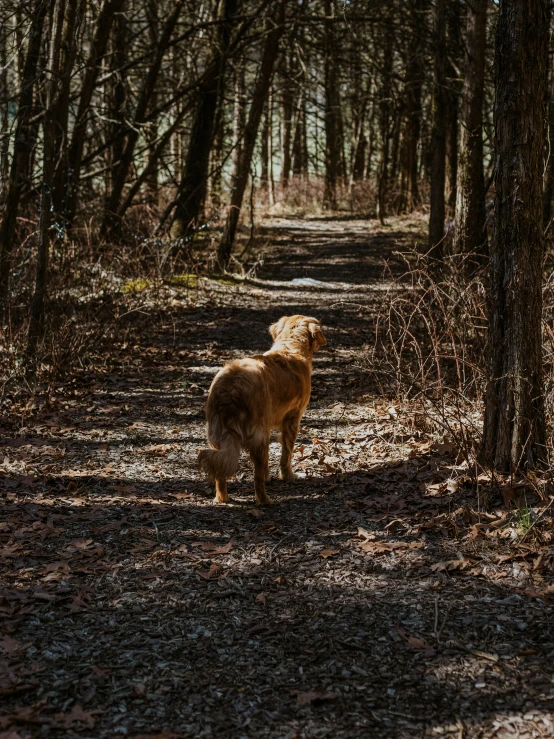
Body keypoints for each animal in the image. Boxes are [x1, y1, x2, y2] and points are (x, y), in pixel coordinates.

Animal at [198, 316, 326, 506]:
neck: (290, 346)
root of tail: (232, 386)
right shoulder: (292, 419)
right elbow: (287, 453)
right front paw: (288, 475)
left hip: (218, 434)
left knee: (219, 469)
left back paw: (222, 498)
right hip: (259, 437)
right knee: (256, 477)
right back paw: (265, 500)